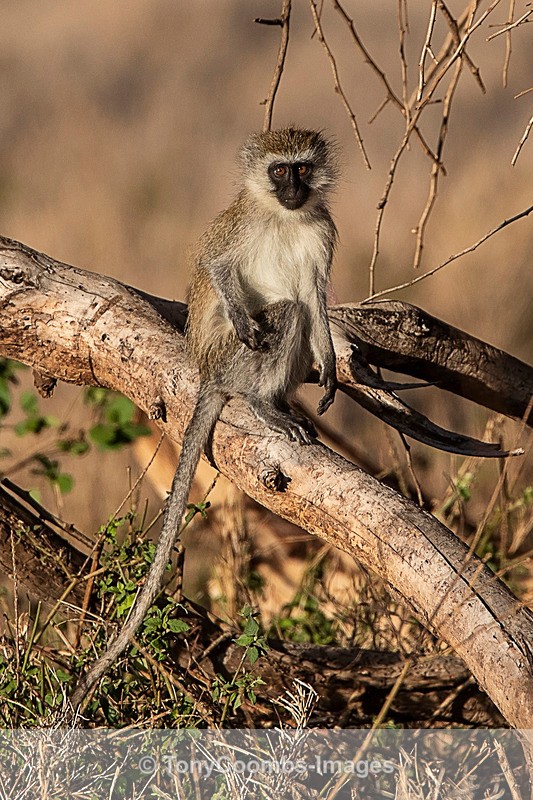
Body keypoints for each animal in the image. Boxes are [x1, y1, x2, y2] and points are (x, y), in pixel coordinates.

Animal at [69, 126, 338, 710]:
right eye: (279, 171)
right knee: (283, 315)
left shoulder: (323, 233)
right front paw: (236, 309)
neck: (285, 219)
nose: (293, 190)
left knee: (299, 311)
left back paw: (281, 401)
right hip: (231, 359)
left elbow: (316, 300)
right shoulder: (235, 229)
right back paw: (259, 401)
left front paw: (330, 370)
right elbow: (217, 265)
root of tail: (210, 373)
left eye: (302, 169)